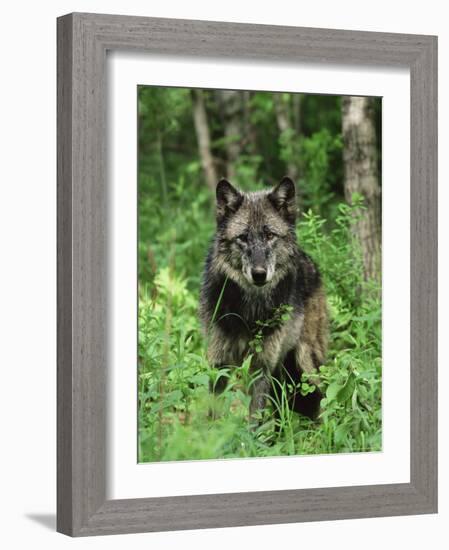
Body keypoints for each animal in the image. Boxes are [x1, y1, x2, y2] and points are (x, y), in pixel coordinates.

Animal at [199, 179, 326, 424]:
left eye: (269, 236)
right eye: (243, 237)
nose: (259, 274)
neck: (248, 311)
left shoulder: (261, 366)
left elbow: (254, 417)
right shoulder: (219, 361)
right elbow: (213, 410)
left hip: (305, 363)